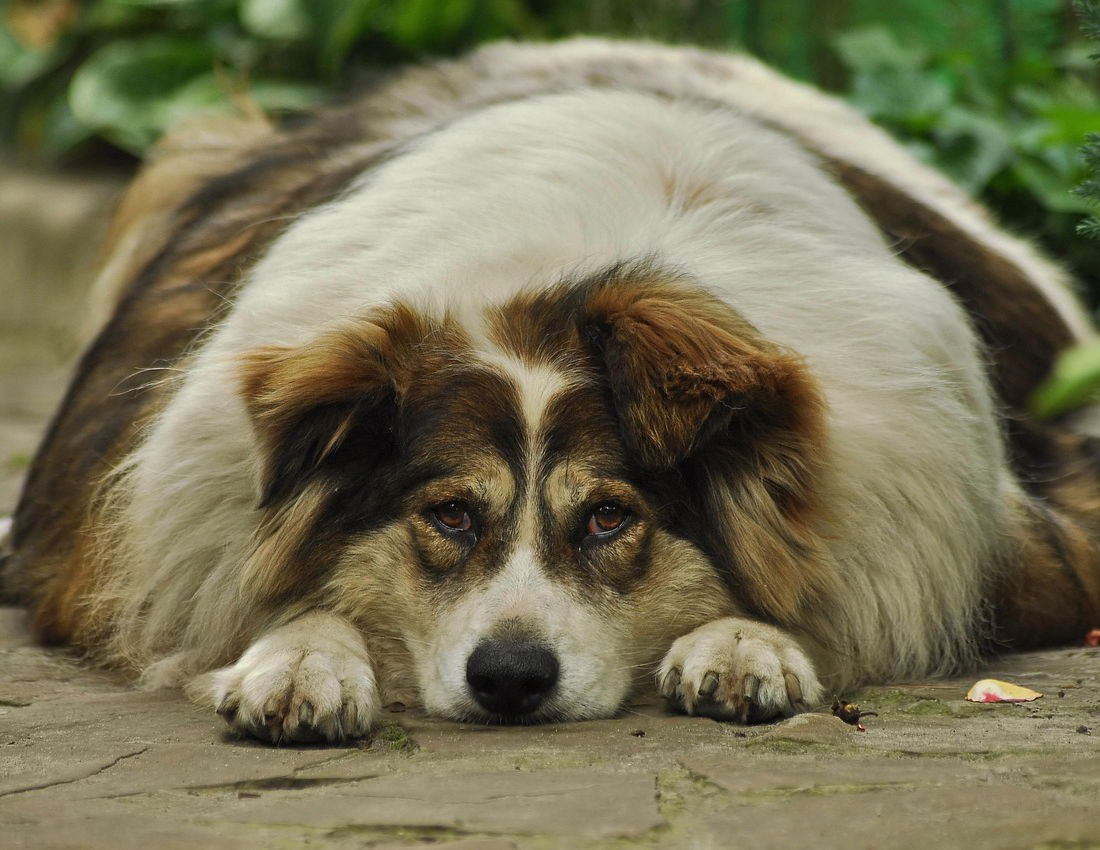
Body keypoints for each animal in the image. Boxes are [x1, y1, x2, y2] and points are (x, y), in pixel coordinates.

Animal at [2, 39, 1100, 743]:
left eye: (611, 518)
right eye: (447, 513)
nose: (510, 679)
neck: (564, 277)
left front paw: (748, 641)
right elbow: (295, 598)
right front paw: (301, 658)